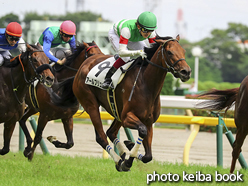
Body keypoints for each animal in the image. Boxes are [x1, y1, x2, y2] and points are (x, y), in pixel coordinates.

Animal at [50, 35, 192, 171]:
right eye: (169, 52)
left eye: (183, 51)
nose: (186, 72)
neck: (146, 84)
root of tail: (82, 67)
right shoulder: (127, 117)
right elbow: (142, 131)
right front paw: (128, 160)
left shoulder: (148, 121)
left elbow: (148, 156)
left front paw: (130, 148)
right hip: (91, 104)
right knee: (101, 136)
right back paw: (119, 160)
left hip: (116, 110)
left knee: (110, 132)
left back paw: (123, 153)